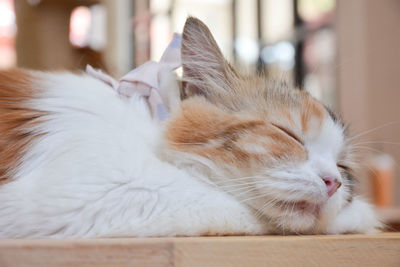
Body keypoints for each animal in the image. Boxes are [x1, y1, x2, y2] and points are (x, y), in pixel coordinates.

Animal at [0, 17, 380, 238]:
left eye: (344, 168)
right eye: (288, 134)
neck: (150, 119)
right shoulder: (102, 190)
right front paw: (361, 214)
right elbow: (240, 211)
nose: (334, 182)